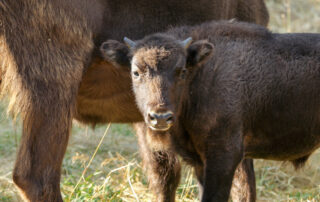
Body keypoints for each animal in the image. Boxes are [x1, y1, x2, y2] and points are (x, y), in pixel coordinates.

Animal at [99, 21, 320, 201]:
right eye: (136, 72)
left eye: (182, 71)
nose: (160, 117)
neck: (201, 74)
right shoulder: (201, 163)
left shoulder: (224, 157)